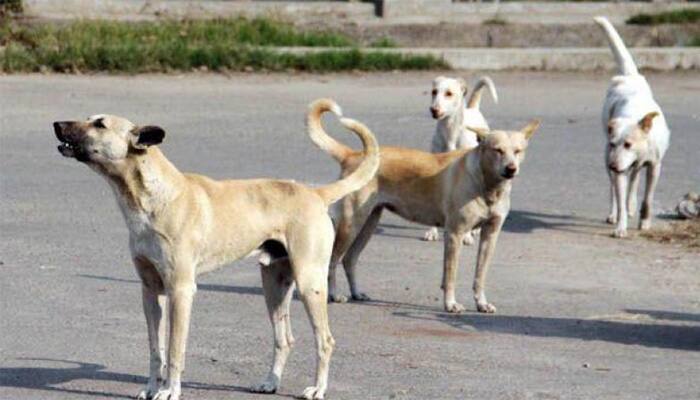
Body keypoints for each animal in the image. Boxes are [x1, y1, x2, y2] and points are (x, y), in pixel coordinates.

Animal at [52, 108, 380, 398]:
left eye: (100, 124)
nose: (56, 124)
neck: (153, 198)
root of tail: (315, 193)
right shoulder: (151, 291)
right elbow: (155, 349)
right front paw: (151, 388)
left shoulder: (181, 291)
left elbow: (174, 350)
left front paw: (170, 391)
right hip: (274, 285)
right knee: (284, 339)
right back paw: (270, 382)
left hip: (310, 283)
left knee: (325, 340)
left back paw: (318, 389)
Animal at [312, 98, 540, 310]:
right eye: (497, 150)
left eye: (518, 151)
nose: (511, 169)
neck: (487, 186)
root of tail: (352, 155)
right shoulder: (454, 234)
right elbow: (450, 275)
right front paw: (451, 304)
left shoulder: (490, 236)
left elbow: (479, 276)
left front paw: (481, 303)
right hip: (351, 225)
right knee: (333, 261)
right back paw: (333, 295)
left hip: (369, 222)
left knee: (349, 260)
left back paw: (357, 293)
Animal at [424, 76, 500, 242]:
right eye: (434, 92)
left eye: (449, 93)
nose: (433, 109)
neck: (450, 131)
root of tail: (473, 108)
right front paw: (431, 231)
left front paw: (467, 235)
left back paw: (475, 230)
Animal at [592, 17, 668, 238]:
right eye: (613, 143)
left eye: (628, 144)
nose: (613, 166)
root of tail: (628, 76)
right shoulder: (617, 166)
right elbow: (619, 198)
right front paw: (620, 226)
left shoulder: (654, 166)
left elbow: (648, 199)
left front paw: (645, 222)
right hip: (608, 160)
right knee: (616, 189)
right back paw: (614, 213)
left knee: (634, 179)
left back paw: (632, 204)